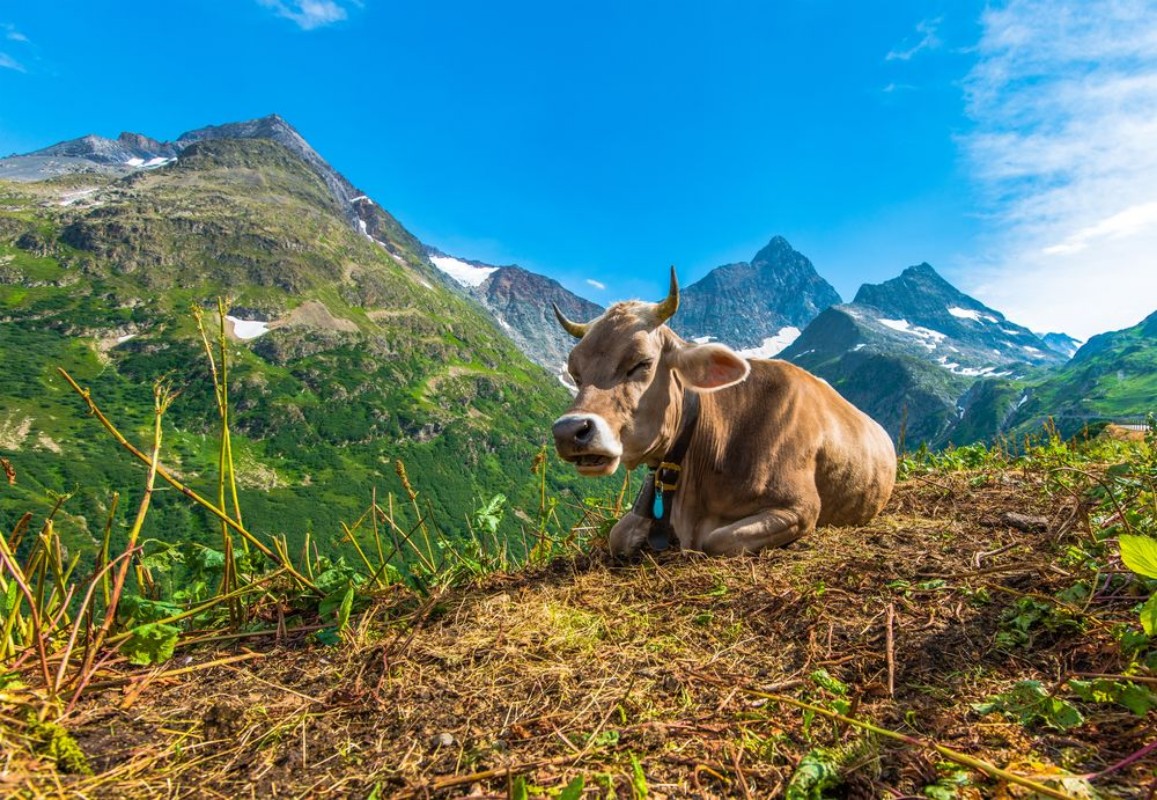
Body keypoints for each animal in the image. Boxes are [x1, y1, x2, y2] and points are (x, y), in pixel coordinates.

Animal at [550, 268, 893, 558]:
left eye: (642, 363)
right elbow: (617, 536)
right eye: (576, 373)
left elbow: (715, 539)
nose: (569, 431)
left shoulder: (800, 507)